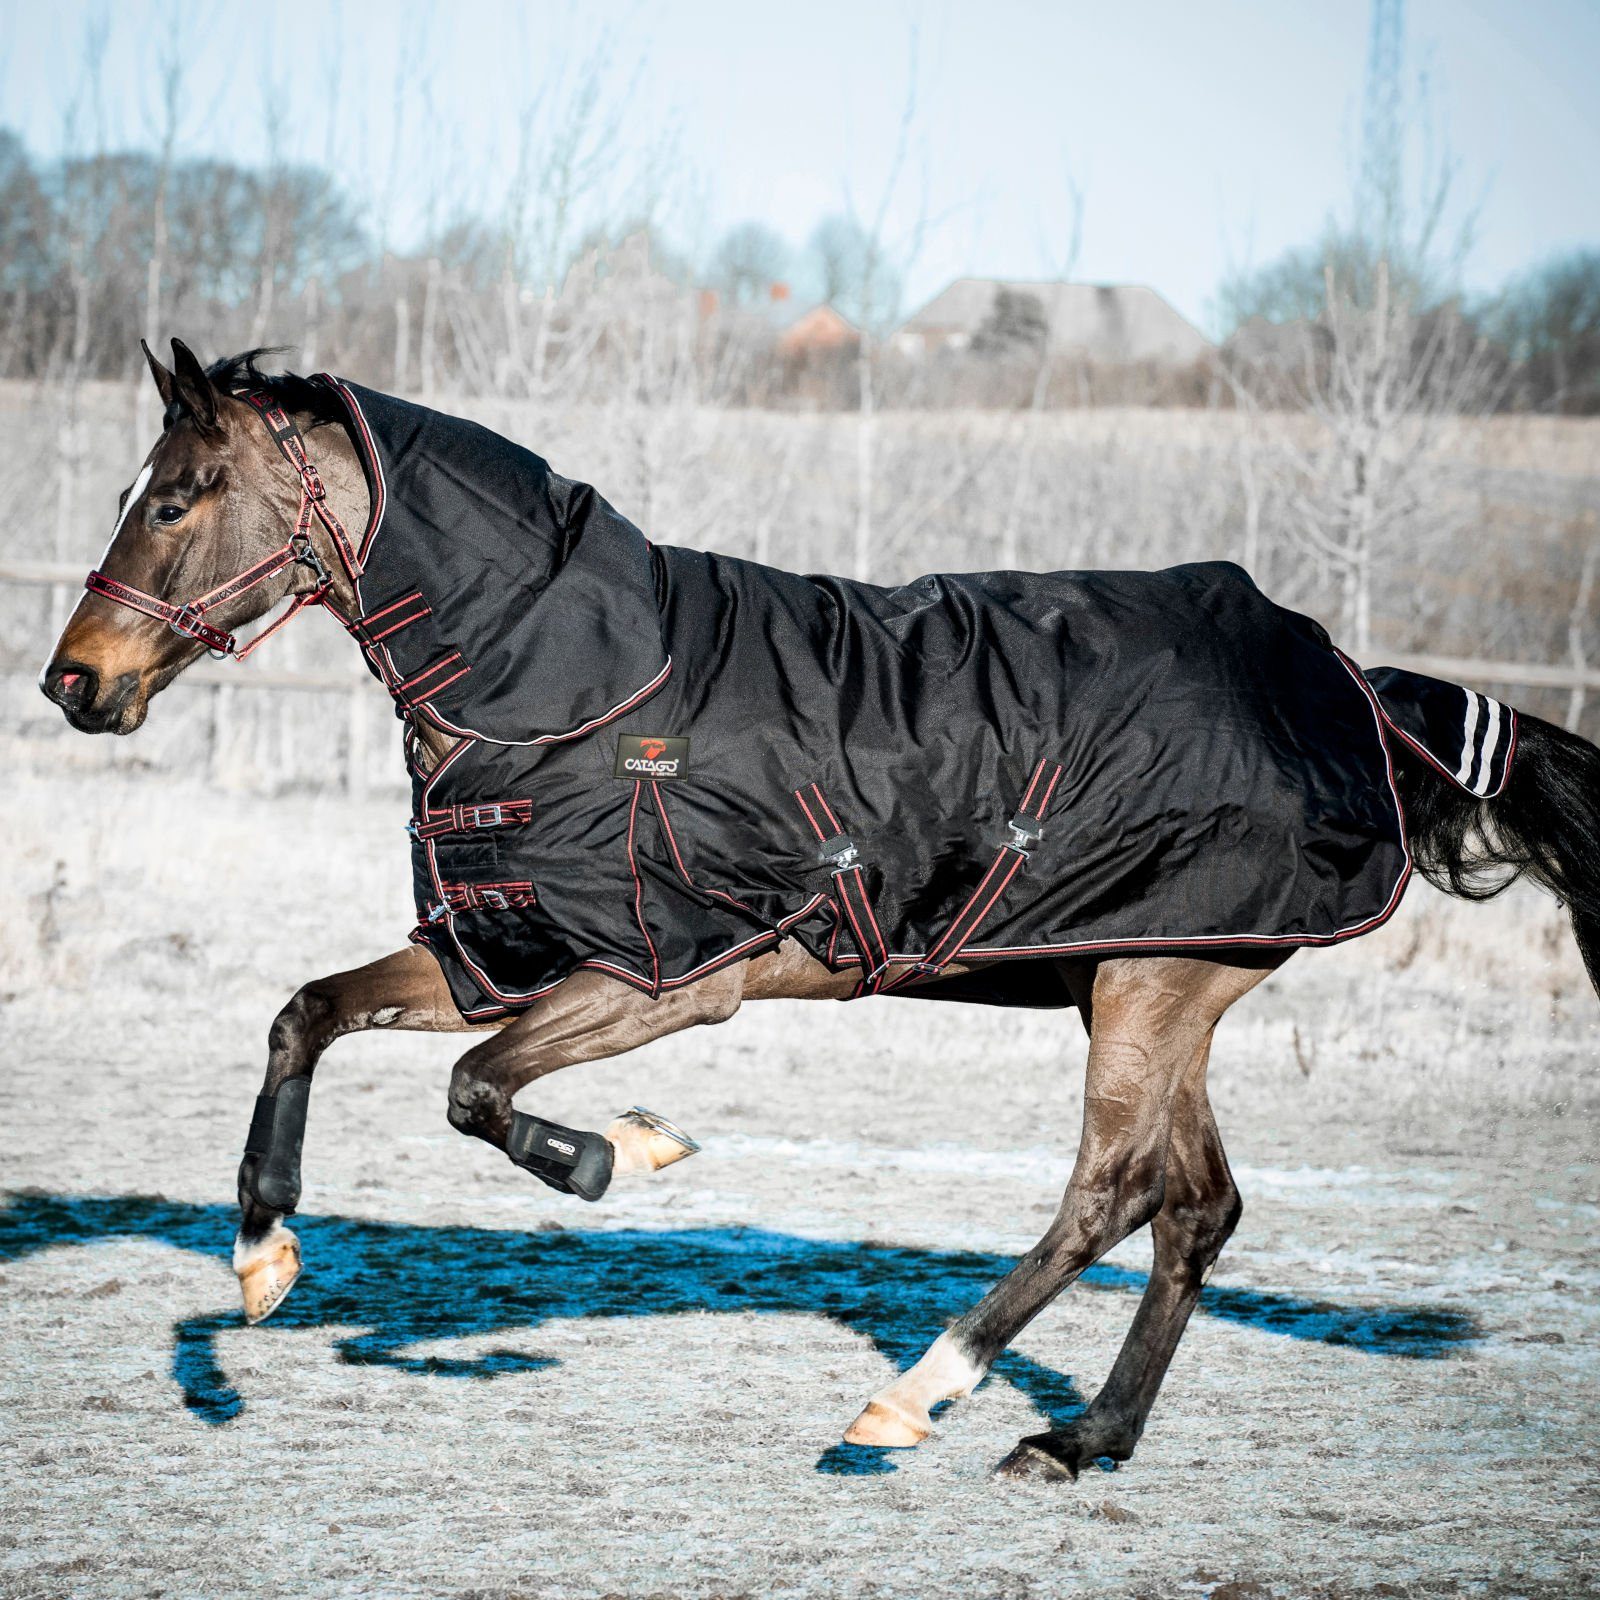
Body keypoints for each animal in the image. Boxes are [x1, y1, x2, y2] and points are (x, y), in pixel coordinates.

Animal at [39, 338, 1600, 1481]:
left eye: (173, 497)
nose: (74, 682)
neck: (575, 688)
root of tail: (1353, 687)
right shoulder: (495, 951)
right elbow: (306, 1014)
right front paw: (259, 1262)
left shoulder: (666, 977)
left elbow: (477, 1094)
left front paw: (619, 1153)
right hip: (1156, 978)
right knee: (1197, 1206)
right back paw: (1079, 1440)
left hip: (1154, 983)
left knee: (1114, 1189)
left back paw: (914, 1399)